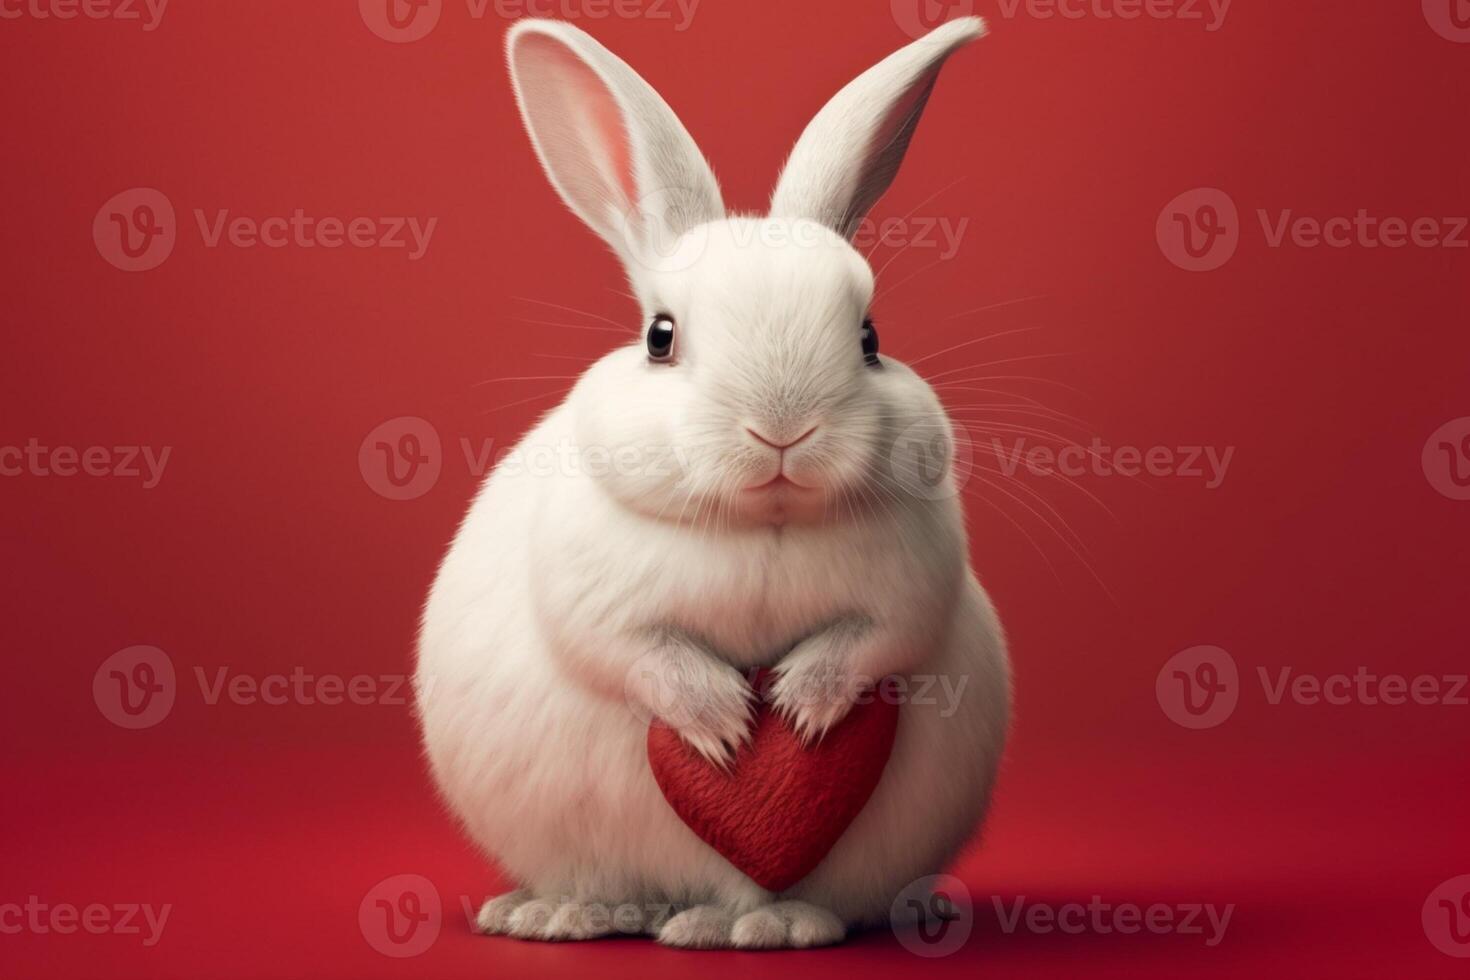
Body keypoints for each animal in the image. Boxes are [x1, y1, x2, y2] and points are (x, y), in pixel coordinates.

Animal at [417, 15, 1011, 952]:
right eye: (660, 337)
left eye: (871, 337)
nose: (783, 426)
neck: (761, 525)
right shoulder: (595, 600)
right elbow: (637, 654)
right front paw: (725, 723)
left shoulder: (911, 591)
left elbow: (872, 640)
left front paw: (799, 711)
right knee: (624, 888)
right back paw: (566, 914)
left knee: (788, 898)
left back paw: (785, 925)